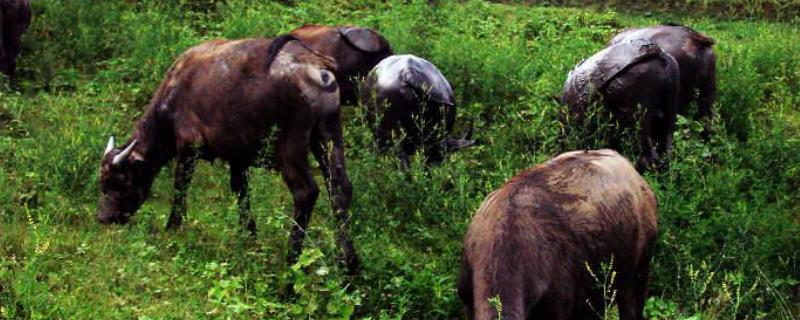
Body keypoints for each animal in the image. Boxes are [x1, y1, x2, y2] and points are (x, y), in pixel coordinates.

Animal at [96, 35, 360, 272]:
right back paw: (347, 260)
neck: (175, 92)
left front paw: (173, 226)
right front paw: (249, 233)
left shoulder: (189, 147)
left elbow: (181, 187)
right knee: (340, 187)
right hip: (328, 133)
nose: (103, 218)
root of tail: (320, 68)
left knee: (306, 192)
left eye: (121, 181)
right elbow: (241, 192)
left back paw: (292, 258)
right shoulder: (238, 158)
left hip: (290, 145)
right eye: (102, 183)